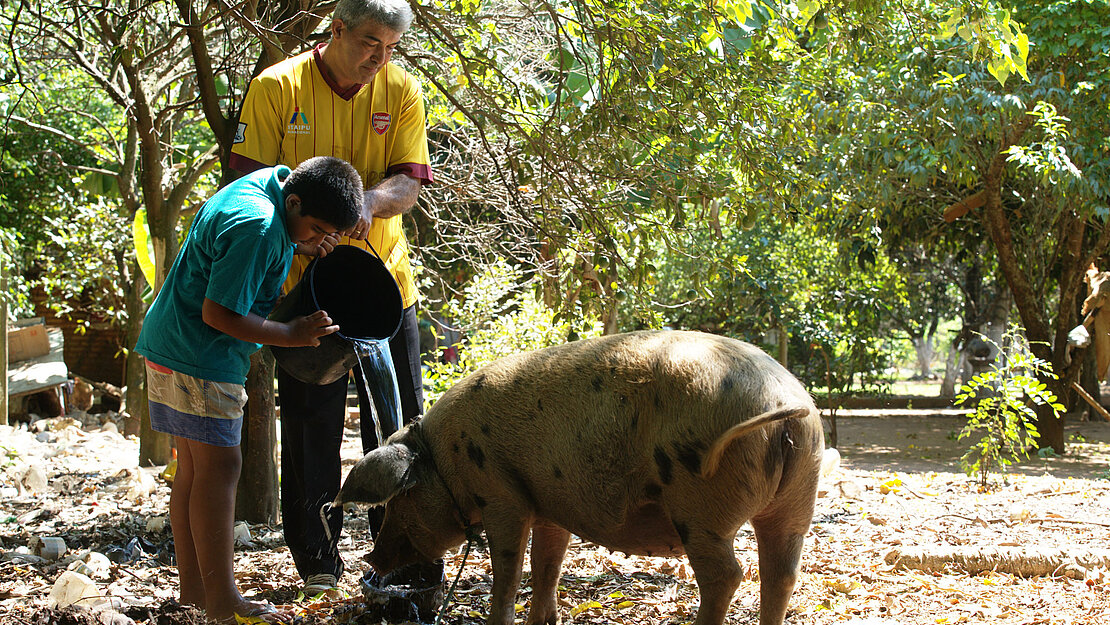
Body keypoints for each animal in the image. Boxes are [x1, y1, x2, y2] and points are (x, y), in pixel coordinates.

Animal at [337, 330, 825, 625]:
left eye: (397, 501)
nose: (370, 559)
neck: (444, 458)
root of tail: (786, 402)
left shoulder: (501, 494)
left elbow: (508, 569)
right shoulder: (548, 505)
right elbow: (547, 565)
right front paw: (543, 621)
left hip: (698, 504)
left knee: (727, 574)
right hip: (799, 495)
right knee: (782, 572)